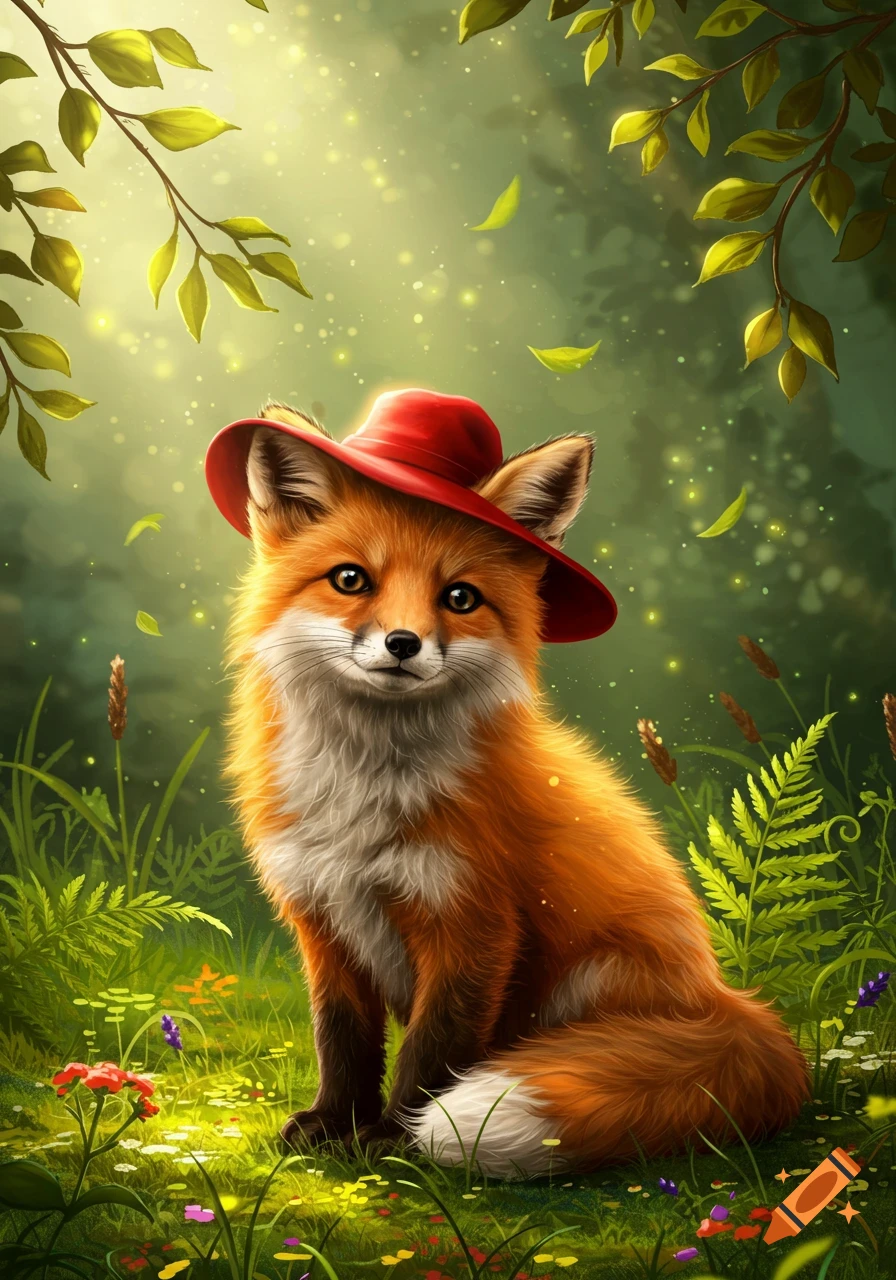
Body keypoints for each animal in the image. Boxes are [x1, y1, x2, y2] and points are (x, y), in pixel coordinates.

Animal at [222, 396, 809, 1178]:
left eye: (460, 597)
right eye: (350, 580)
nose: (403, 644)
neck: (362, 801)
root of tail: (729, 999)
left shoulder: (474, 923)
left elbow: (433, 1049)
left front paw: (397, 1138)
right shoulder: (322, 918)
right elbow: (341, 1040)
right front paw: (333, 1122)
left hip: (588, 983)